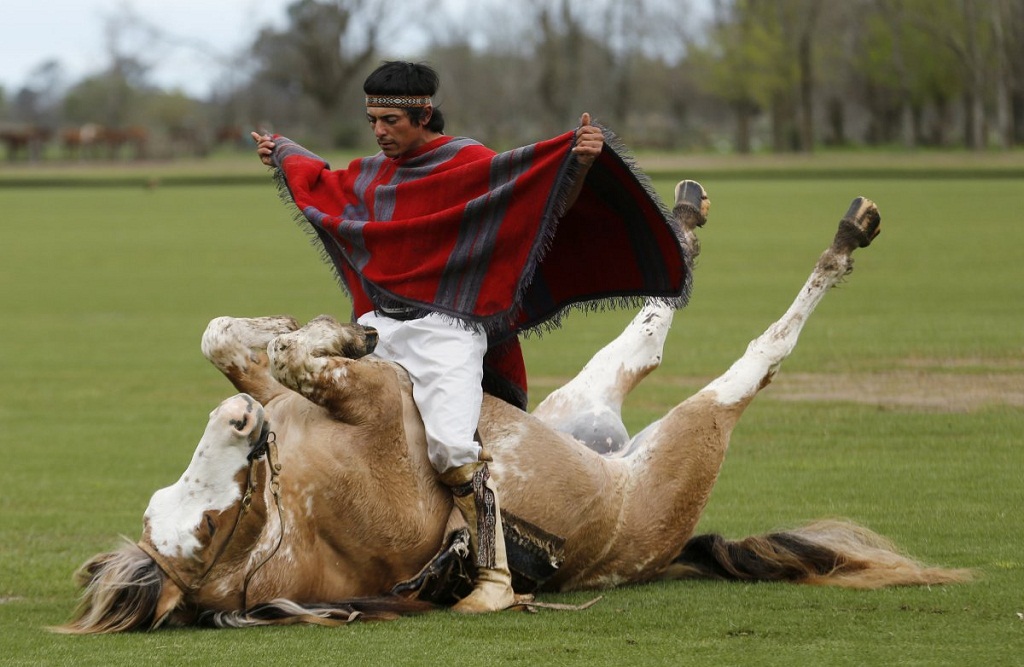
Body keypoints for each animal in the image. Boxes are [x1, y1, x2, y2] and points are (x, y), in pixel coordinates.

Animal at [58, 184, 966, 635]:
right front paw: (333, 333)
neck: (299, 506)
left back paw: (684, 214)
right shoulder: (376, 405)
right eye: (214, 526)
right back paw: (842, 238)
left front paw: (308, 325)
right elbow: (296, 357)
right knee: (744, 358)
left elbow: (232, 338)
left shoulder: (300, 392)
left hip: (579, 408)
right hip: (686, 437)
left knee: (644, 335)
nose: (242, 428)